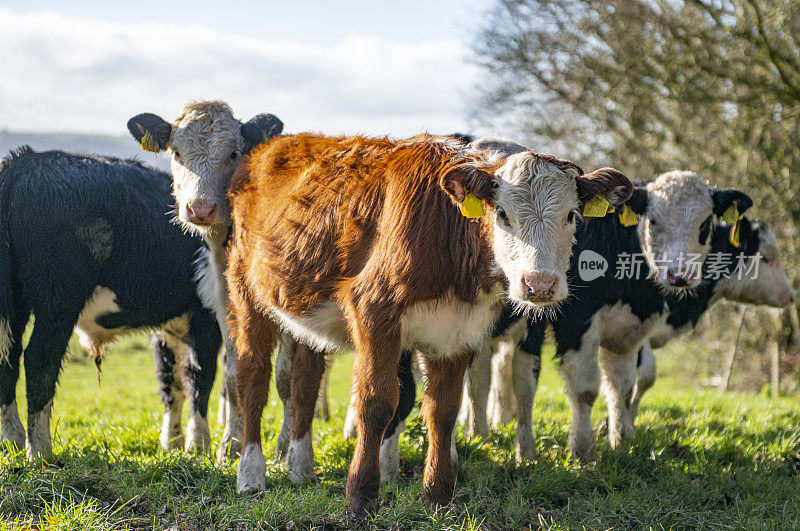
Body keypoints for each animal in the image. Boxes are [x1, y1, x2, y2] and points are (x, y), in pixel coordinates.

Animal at [0, 148, 219, 460]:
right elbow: (201, 377)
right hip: (59, 301)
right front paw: (199, 446)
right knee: (39, 359)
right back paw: (41, 451)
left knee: (9, 357)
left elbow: (171, 379)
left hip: (16, 303)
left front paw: (173, 443)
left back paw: (13, 442)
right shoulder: (208, 316)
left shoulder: (170, 325)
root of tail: (24, 162)